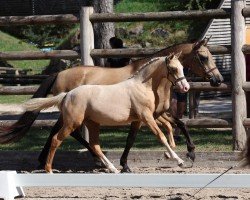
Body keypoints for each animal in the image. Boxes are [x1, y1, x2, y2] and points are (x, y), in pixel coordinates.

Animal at [23, 55, 189, 173]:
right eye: (174, 69)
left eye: (182, 67)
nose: (185, 87)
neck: (141, 86)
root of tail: (67, 95)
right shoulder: (146, 117)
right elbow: (161, 136)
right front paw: (179, 160)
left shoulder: (139, 120)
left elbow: (132, 139)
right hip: (72, 123)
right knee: (56, 139)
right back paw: (49, 169)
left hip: (92, 123)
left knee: (94, 145)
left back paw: (112, 168)